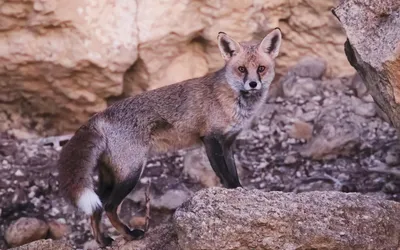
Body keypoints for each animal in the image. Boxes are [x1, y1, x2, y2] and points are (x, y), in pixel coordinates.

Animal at [57, 27, 282, 246]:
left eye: (261, 68)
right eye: (242, 69)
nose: (253, 84)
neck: (234, 102)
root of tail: (99, 115)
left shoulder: (227, 143)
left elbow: (233, 174)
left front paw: (240, 193)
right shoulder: (210, 139)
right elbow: (224, 175)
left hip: (110, 177)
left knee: (96, 208)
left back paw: (103, 241)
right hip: (131, 172)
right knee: (109, 206)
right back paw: (130, 234)